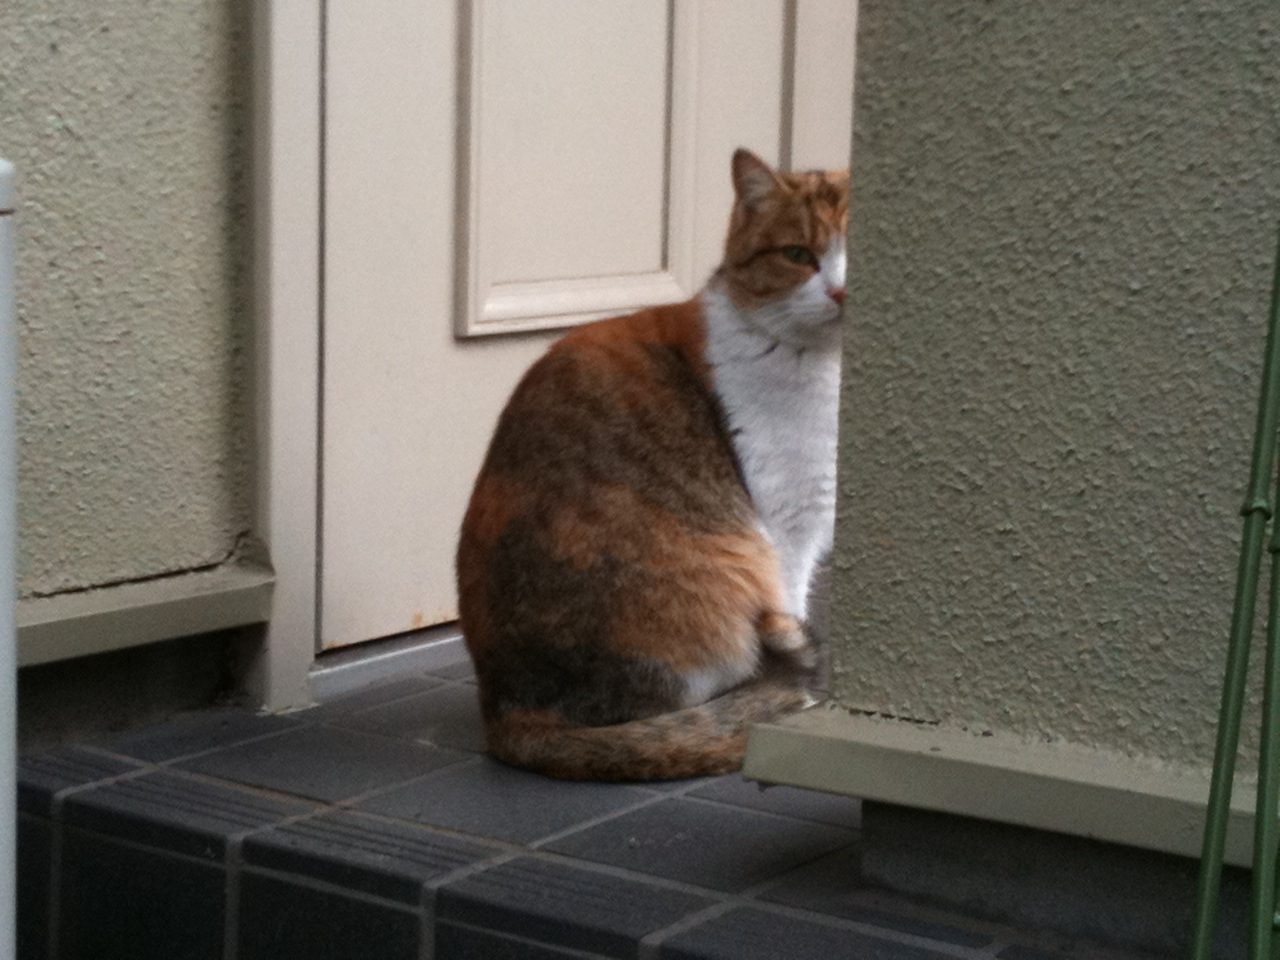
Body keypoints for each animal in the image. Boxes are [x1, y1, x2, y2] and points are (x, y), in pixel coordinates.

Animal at [456, 148, 849, 780]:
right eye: (798, 255)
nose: (840, 293)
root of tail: (508, 711)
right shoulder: (788, 525)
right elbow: (792, 598)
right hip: (731, 567)